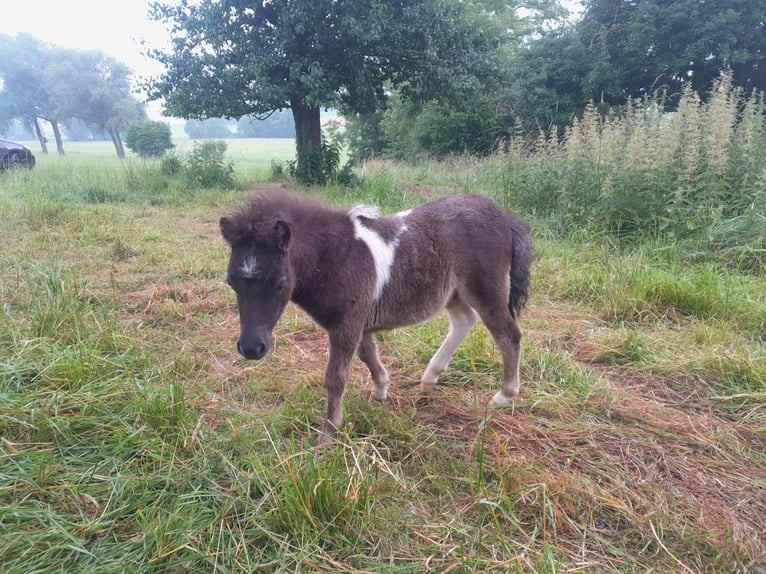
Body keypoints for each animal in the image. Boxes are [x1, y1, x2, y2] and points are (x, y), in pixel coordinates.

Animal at [220, 191, 536, 444]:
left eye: (279, 284)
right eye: (231, 282)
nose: (251, 348)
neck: (337, 258)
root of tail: (502, 214)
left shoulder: (346, 324)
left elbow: (336, 377)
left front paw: (327, 433)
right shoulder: (359, 322)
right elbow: (368, 355)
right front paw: (380, 392)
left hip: (488, 292)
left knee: (509, 335)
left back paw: (503, 396)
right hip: (454, 294)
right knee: (464, 321)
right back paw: (429, 378)